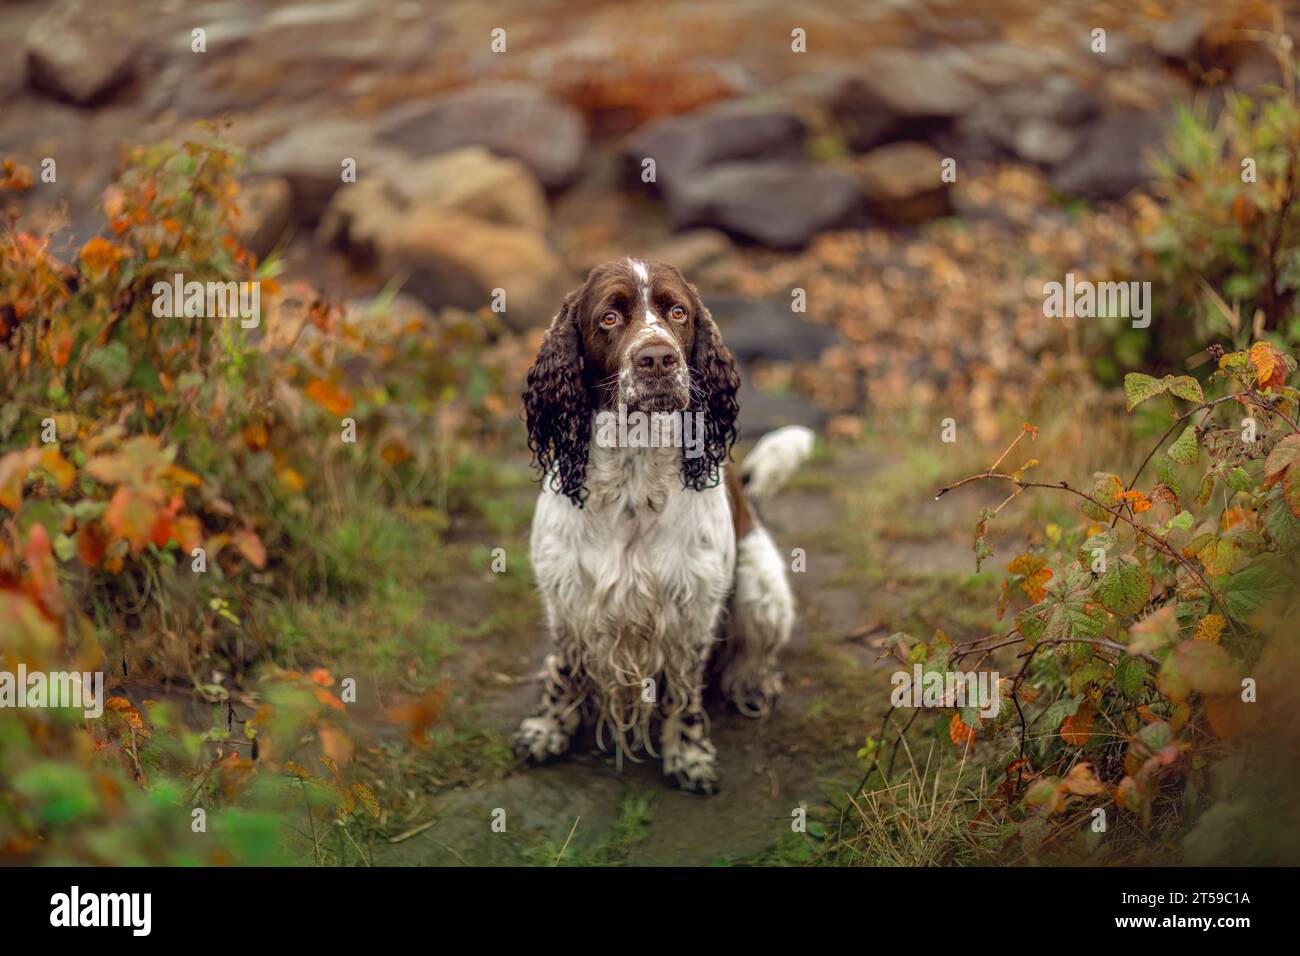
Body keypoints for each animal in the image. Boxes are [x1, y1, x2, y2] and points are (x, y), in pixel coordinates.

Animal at [509, 256, 806, 790]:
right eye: (609, 317)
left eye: (678, 311)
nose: (658, 359)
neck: (632, 480)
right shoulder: (566, 594)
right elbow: (566, 670)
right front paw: (547, 730)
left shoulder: (694, 606)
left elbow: (685, 690)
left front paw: (687, 754)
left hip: (761, 584)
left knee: (757, 652)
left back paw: (753, 684)